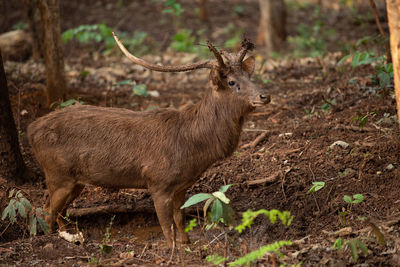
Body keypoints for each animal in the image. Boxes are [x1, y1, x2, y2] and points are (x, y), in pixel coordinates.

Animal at [26, 33, 270, 249]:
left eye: (250, 77)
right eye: (232, 82)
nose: (264, 96)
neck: (194, 150)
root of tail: (31, 130)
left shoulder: (181, 185)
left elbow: (180, 220)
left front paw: (188, 244)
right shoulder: (157, 182)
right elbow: (167, 230)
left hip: (75, 181)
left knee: (57, 211)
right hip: (57, 173)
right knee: (46, 211)